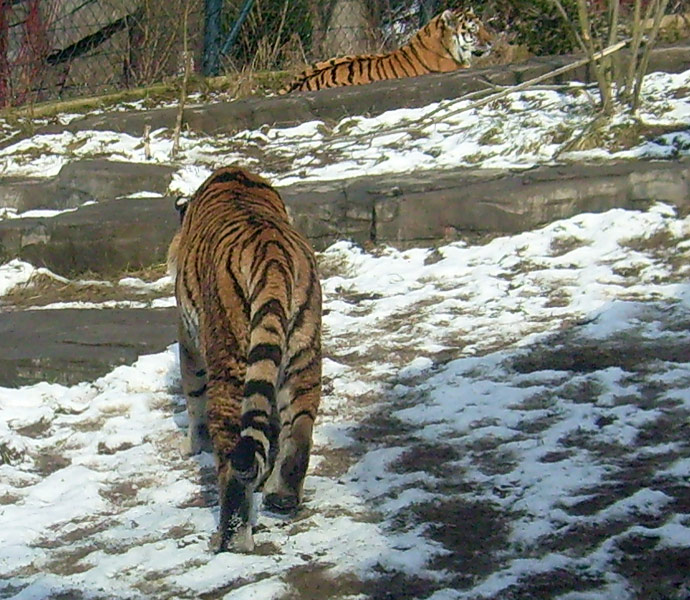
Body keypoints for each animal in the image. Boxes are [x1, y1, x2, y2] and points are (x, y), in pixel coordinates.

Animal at [171, 166, 324, 552]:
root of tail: (273, 257)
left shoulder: (188, 341)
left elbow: (193, 397)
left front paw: (191, 446)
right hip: (304, 354)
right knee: (300, 430)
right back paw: (282, 496)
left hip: (231, 361)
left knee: (231, 464)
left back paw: (232, 538)